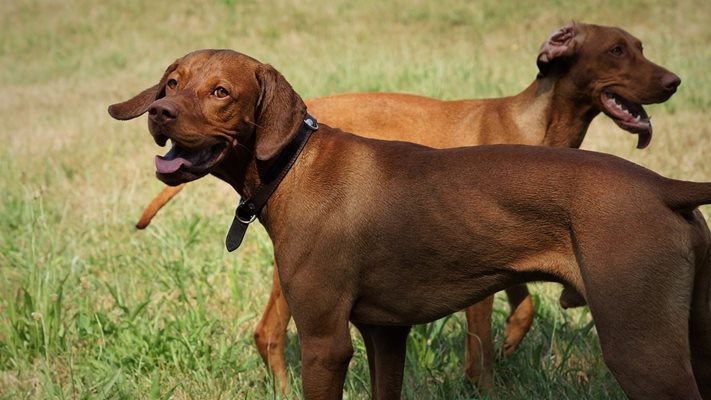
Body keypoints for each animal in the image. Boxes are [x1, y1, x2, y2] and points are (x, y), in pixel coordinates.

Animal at [107, 49, 711, 400]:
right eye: (171, 82)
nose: (159, 112)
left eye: (220, 93)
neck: (294, 163)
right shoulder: (385, 334)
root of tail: (664, 185)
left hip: (642, 350)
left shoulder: (326, 343)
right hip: (689, 343)